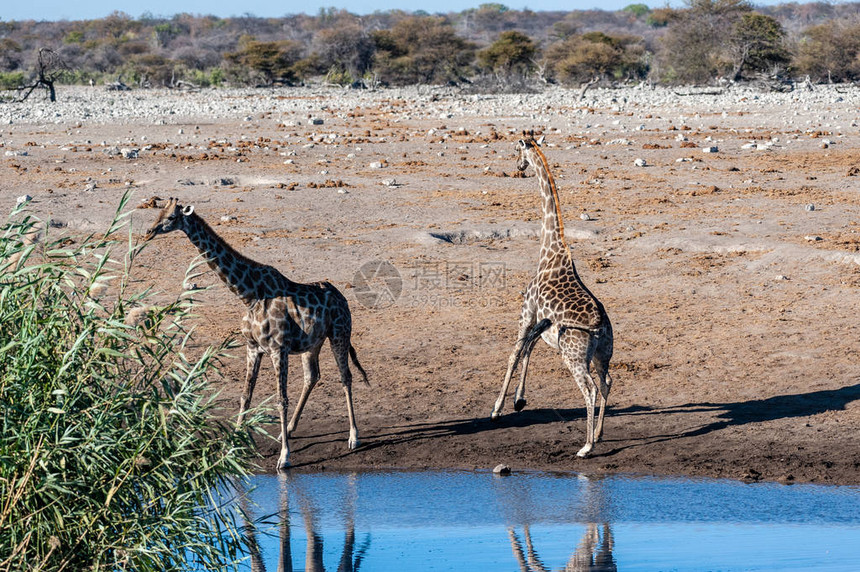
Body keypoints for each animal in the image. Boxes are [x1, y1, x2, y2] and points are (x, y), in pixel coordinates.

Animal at [145, 199, 366, 472]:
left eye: (171, 217)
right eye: (159, 212)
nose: (149, 231)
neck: (248, 295)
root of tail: (343, 298)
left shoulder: (278, 349)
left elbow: (281, 399)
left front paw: (284, 457)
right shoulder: (252, 347)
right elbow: (245, 396)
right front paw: (233, 444)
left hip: (339, 334)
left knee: (346, 378)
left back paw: (353, 437)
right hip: (312, 343)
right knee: (312, 376)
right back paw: (287, 430)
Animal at [490, 132, 612, 458]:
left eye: (516, 149)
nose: (518, 167)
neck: (549, 248)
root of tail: (598, 327)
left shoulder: (527, 312)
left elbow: (514, 352)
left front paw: (497, 409)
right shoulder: (542, 323)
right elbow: (528, 349)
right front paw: (519, 400)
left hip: (574, 357)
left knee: (590, 388)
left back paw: (586, 446)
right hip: (603, 353)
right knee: (606, 382)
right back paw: (598, 433)